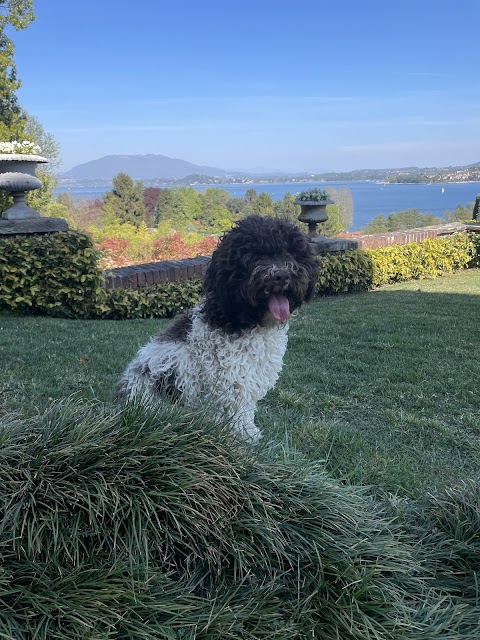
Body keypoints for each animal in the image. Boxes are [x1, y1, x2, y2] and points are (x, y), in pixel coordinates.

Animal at [115, 215, 318, 440]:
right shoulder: (230, 383)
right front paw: (244, 436)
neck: (241, 319)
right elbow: (236, 413)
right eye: (254, 256)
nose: (280, 275)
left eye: (289, 253)